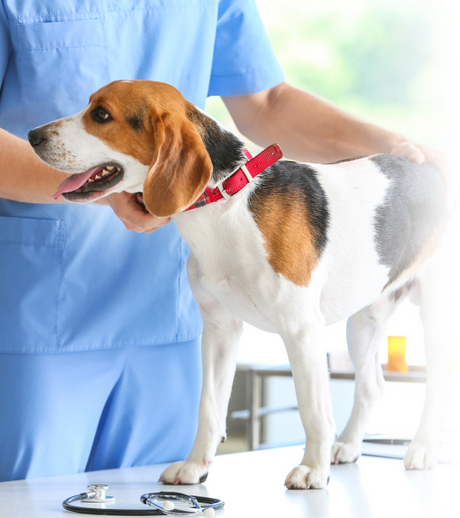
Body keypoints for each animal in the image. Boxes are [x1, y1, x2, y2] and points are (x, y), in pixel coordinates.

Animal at [29, 79, 452, 490]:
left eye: (102, 115)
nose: (32, 135)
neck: (225, 202)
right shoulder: (220, 329)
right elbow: (209, 406)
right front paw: (195, 466)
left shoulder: (301, 331)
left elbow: (312, 408)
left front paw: (312, 470)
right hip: (363, 324)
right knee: (372, 386)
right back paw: (347, 445)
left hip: (433, 319)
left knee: (436, 385)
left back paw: (422, 448)